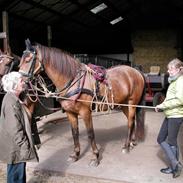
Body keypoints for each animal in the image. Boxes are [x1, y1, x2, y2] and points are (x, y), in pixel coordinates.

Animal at [19, 39, 146, 167]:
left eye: (28, 59)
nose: (19, 83)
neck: (73, 81)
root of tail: (136, 71)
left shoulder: (85, 112)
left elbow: (90, 134)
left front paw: (95, 157)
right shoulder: (70, 113)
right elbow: (74, 133)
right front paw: (75, 155)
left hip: (132, 103)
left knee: (130, 122)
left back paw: (126, 146)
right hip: (124, 104)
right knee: (131, 121)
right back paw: (131, 142)